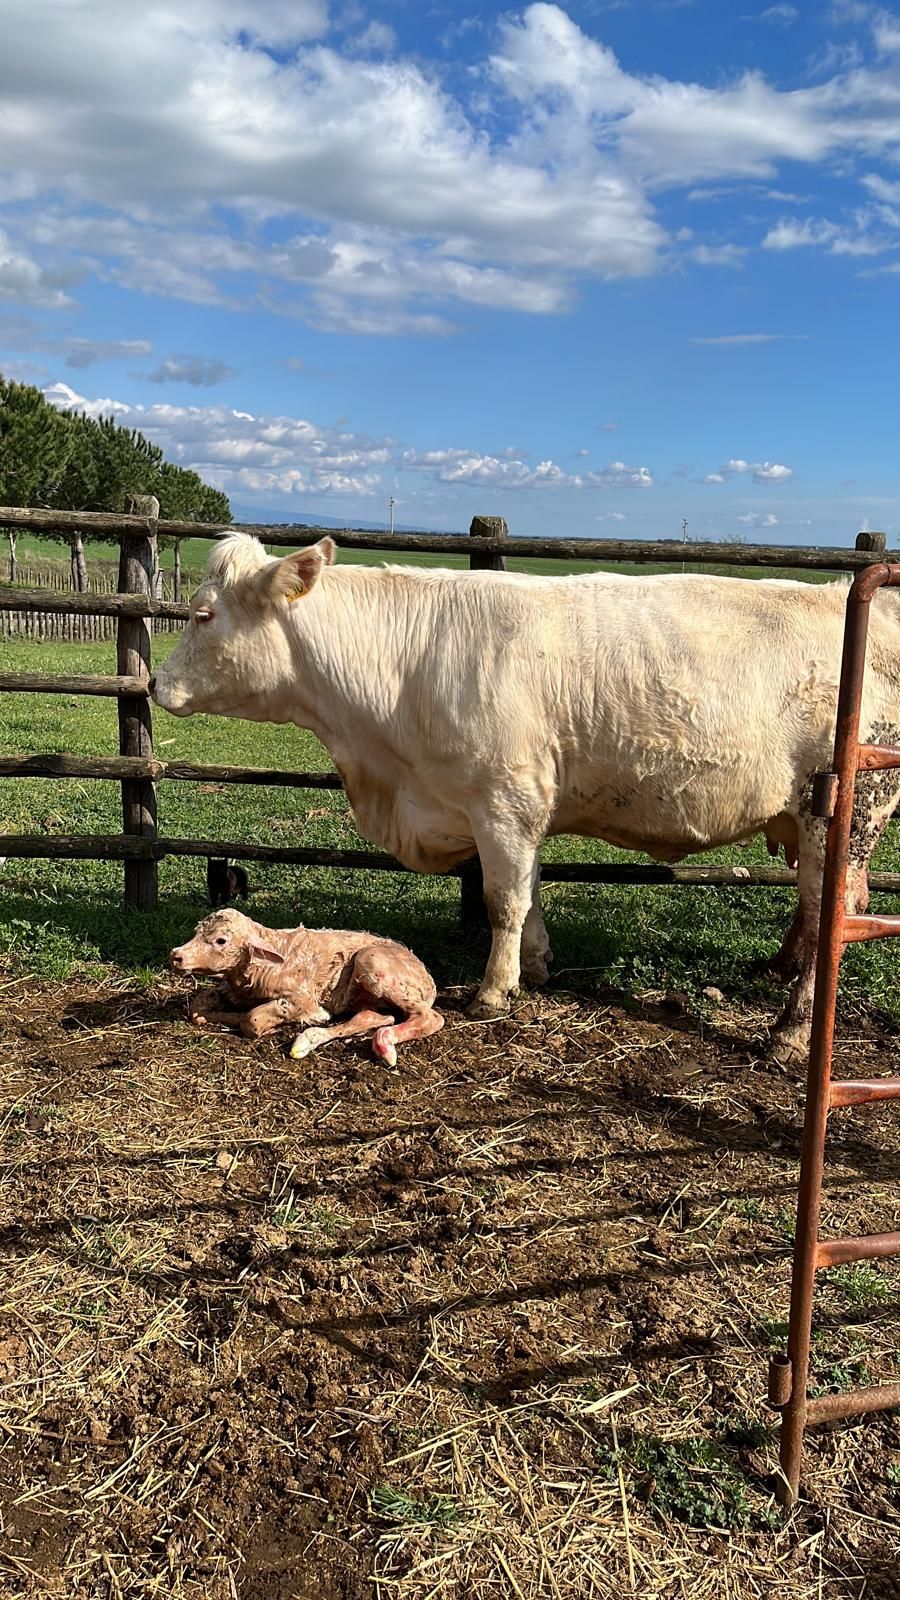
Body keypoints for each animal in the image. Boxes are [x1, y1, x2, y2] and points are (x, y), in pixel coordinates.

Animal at [169, 908, 443, 1066]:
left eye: (221, 940)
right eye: (196, 932)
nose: (175, 956)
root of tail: (428, 978)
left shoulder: (305, 1001)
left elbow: (252, 1019)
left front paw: (268, 1026)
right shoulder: (232, 990)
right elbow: (197, 1007)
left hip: (375, 964)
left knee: (430, 1018)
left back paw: (384, 1046)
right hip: (367, 994)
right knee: (374, 1016)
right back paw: (309, 1041)